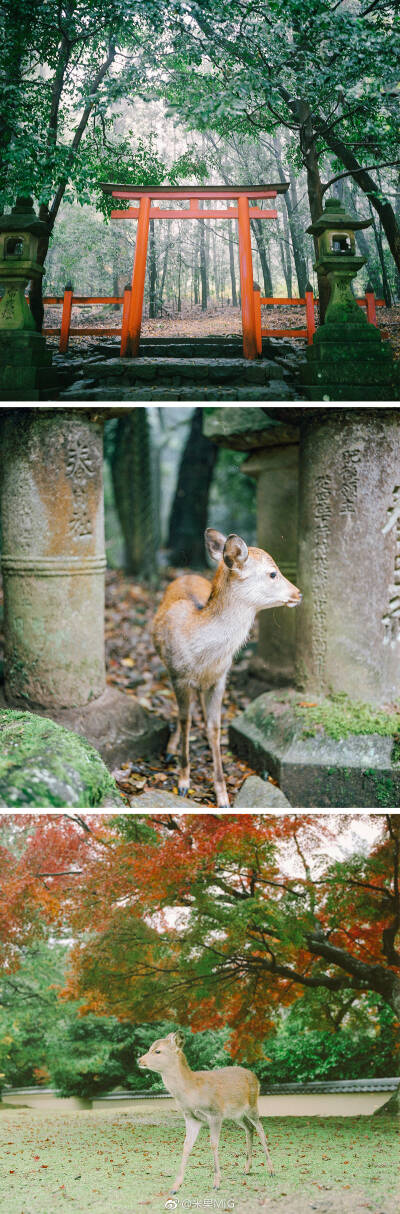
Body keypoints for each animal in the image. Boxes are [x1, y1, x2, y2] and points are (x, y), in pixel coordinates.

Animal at [136, 1029, 271, 1189]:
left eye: (157, 1051)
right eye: (150, 1048)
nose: (139, 1061)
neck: (193, 1091)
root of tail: (255, 1077)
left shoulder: (215, 1113)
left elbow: (213, 1144)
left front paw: (217, 1182)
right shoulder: (191, 1117)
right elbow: (186, 1145)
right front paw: (176, 1186)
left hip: (252, 1105)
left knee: (260, 1129)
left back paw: (271, 1170)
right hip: (236, 1114)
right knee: (249, 1128)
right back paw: (246, 1169)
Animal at [151, 529, 299, 806]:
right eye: (273, 573)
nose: (298, 593)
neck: (202, 655)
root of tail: (186, 574)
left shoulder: (220, 679)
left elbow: (214, 727)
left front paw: (222, 795)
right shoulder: (179, 675)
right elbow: (186, 720)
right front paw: (183, 782)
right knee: (182, 713)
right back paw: (170, 751)